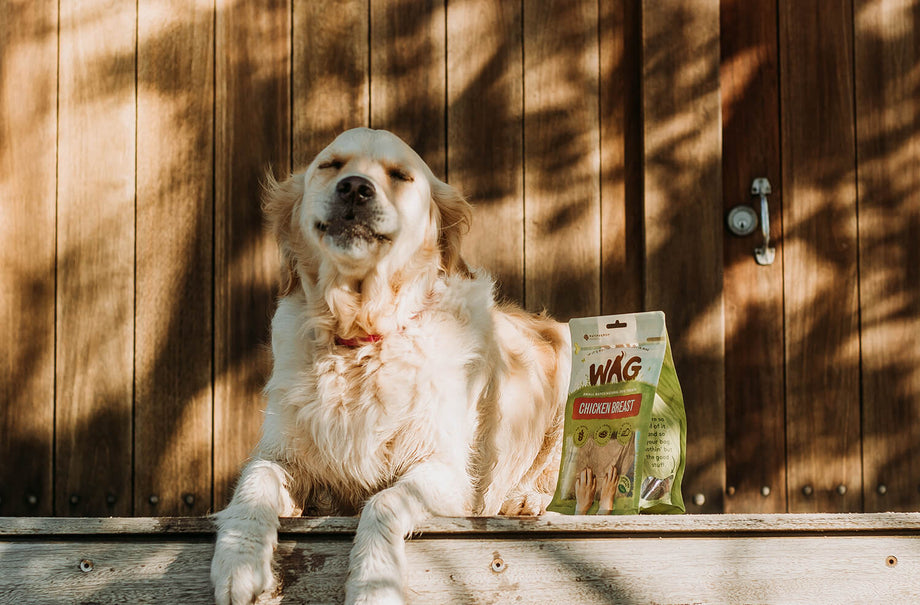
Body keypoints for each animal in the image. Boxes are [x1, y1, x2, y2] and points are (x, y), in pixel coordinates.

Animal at [210, 127, 568, 604]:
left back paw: (529, 500)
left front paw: (374, 583)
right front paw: (239, 561)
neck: (361, 338)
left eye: (400, 175)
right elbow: (254, 483)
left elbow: (384, 502)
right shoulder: (282, 454)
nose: (354, 188)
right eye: (331, 165)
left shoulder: (447, 472)